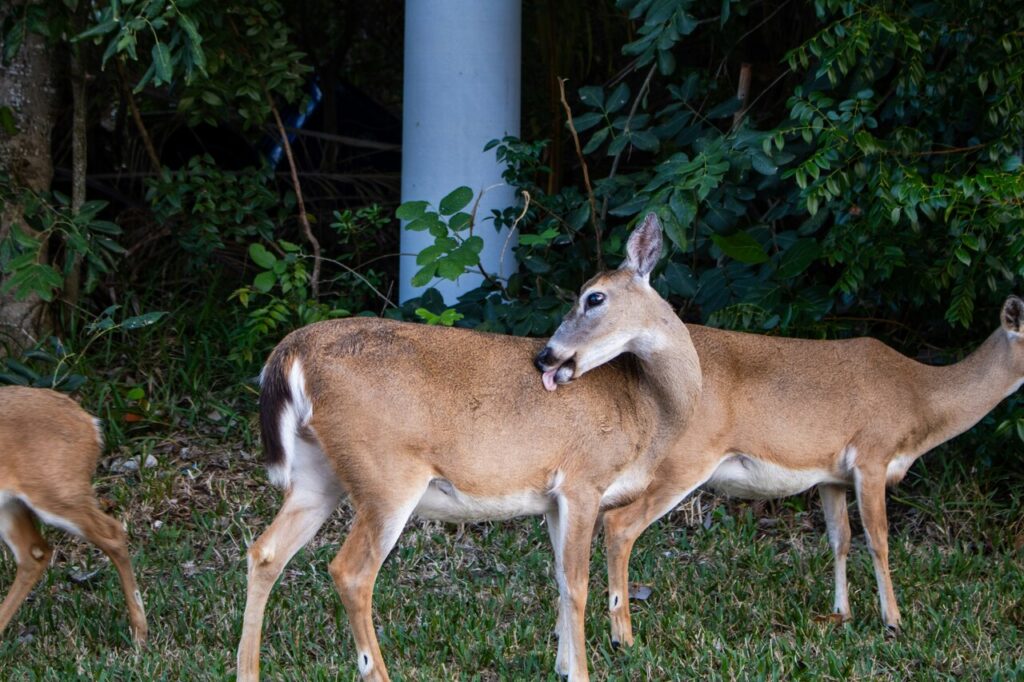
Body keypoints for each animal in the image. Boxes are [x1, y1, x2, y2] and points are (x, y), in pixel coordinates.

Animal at [0, 386, 148, 643]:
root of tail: (89, 423)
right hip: (12, 504)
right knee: (33, 552)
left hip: (58, 491)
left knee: (113, 532)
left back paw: (140, 635)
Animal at [235, 213, 702, 681]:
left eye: (595, 297)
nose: (546, 357)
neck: (646, 407)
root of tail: (291, 353)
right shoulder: (583, 480)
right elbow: (577, 584)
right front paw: (580, 672)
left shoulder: (554, 499)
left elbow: (558, 578)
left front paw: (562, 666)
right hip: (386, 475)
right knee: (350, 572)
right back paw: (378, 671)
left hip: (319, 473)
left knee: (265, 552)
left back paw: (248, 671)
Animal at [538, 269, 1024, 647]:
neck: (918, 400)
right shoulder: (872, 454)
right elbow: (879, 539)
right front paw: (894, 621)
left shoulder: (831, 475)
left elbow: (840, 538)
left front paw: (841, 613)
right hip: (683, 460)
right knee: (618, 525)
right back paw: (621, 636)